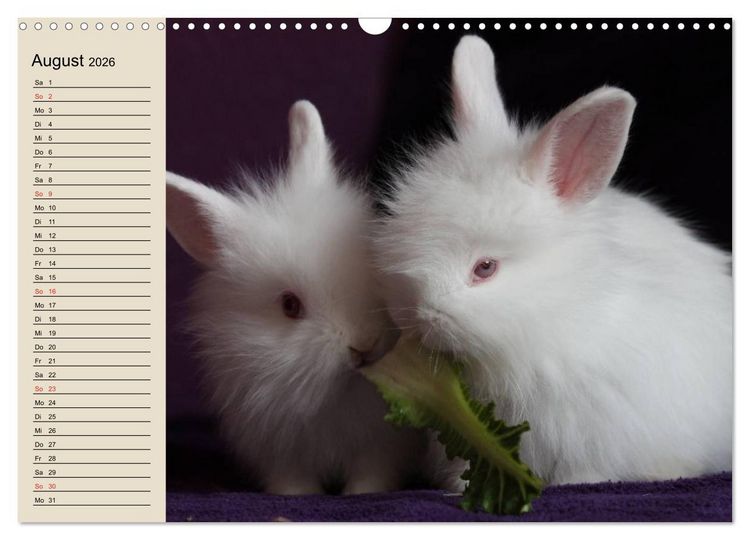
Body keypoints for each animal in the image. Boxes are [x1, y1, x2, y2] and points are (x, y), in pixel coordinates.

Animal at [166, 100, 424, 495]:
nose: (363, 345)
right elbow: (293, 481)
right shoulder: (278, 449)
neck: (333, 396)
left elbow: (371, 475)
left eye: (372, 272)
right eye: (290, 306)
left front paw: (362, 493)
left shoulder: (381, 446)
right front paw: (299, 495)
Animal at [373, 35, 732, 487]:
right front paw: (457, 488)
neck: (553, 316)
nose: (421, 318)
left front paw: (580, 482)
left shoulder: (595, 427)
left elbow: (588, 466)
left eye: (485, 268)